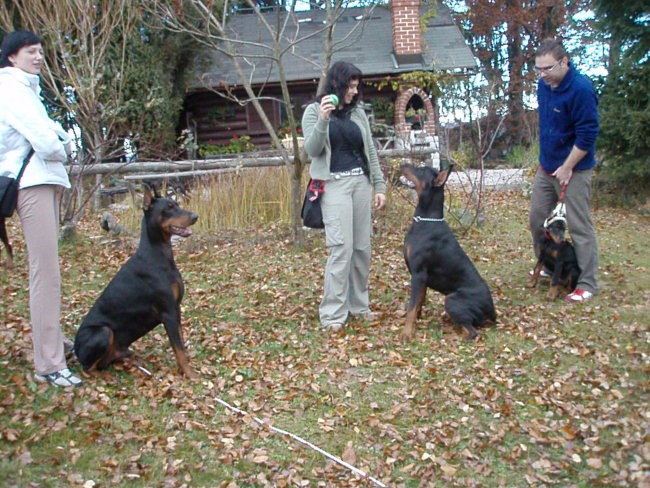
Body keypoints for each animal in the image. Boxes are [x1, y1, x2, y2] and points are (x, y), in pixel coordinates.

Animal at [74, 183, 197, 378]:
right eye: (169, 208)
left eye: (176, 204)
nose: (195, 216)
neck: (158, 255)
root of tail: (74, 350)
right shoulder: (168, 311)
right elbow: (178, 347)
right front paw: (190, 374)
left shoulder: (176, 308)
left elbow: (181, 342)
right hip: (102, 332)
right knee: (88, 368)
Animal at [398, 164, 494, 340]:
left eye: (421, 170)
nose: (402, 164)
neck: (426, 220)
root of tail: (492, 311)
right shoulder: (422, 279)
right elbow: (419, 301)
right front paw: (417, 320)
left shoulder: (419, 274)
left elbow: (411, 306)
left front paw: (406, 333)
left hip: (452, 300)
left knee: (472, 333)